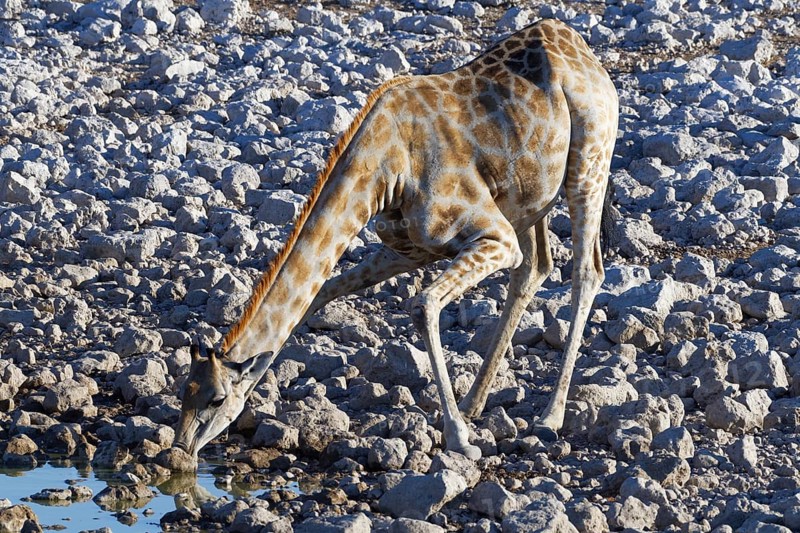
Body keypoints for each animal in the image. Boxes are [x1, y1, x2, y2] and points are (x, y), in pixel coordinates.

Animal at [173, 18, 619, 462]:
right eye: (183, 392)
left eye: (216, 399)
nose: (179, 451)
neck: (387, 168)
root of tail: (580, 49)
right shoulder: (410, 248)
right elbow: (322, 293)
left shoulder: (495, 237)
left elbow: (423, 306)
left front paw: (459, 440)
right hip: (529, 197)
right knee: (535, 268)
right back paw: (474, 401)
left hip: (588, 165)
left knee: (586, 272)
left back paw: (549, 417)